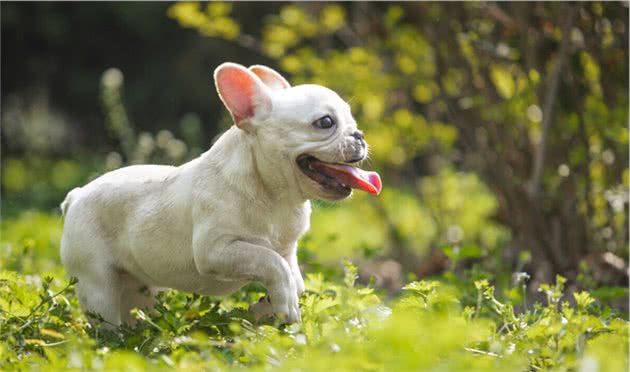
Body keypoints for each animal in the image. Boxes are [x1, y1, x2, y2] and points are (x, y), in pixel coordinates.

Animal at [60, 63, 380, 326]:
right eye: (325, 123)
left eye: (352, 121)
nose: (360, 135)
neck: (273, 194)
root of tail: (76, 196)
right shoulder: (217, 250)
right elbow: (269, 262)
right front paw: (283, 304)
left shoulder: (287, 249)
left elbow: (294, 279)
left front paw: (266, 306)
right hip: (98, 284)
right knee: (105, 322)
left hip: (140, 287)